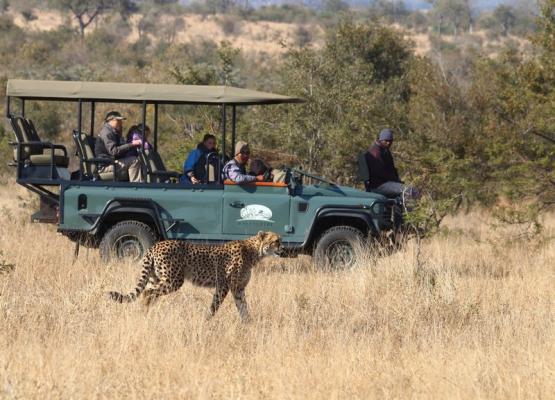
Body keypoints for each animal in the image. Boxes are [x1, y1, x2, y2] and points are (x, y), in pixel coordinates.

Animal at [108, 231, 282, 322]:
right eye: (276, 241)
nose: (284, 248)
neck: (254, 251)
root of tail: (155, 246)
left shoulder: (238, 288)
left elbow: (243, 307)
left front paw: (249, 324)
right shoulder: (224, 286)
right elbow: (215, 306)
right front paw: (206, 321)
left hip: (156, 278)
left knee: (150, 293)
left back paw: (147, 314)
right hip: (173, 280)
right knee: (147, 293)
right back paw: (144, 314)